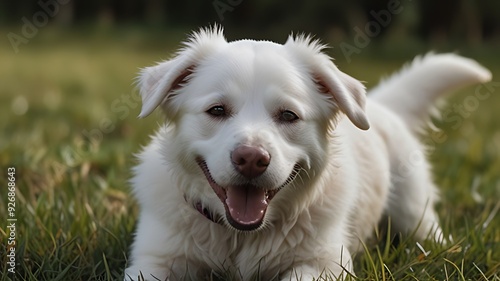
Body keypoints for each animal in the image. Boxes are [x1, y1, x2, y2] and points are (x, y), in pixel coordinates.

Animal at [125, 26, 492, 280]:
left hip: (415, 214)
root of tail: (382, 105)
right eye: (217, 110)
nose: (251, 159)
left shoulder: (324, 263)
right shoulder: (155, 259)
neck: (241, 237)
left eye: (288, 115)